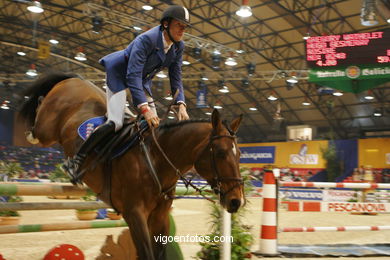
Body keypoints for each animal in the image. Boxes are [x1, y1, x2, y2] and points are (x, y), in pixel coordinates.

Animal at [19, 73, 244, 260]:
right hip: (46, 131)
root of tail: (75, 78)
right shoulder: (135, 214)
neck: (156, 159)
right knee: (39, 120)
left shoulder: (160, 217)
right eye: (221, 153)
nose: (236, 201)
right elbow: (146, 254)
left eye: (240, 154)